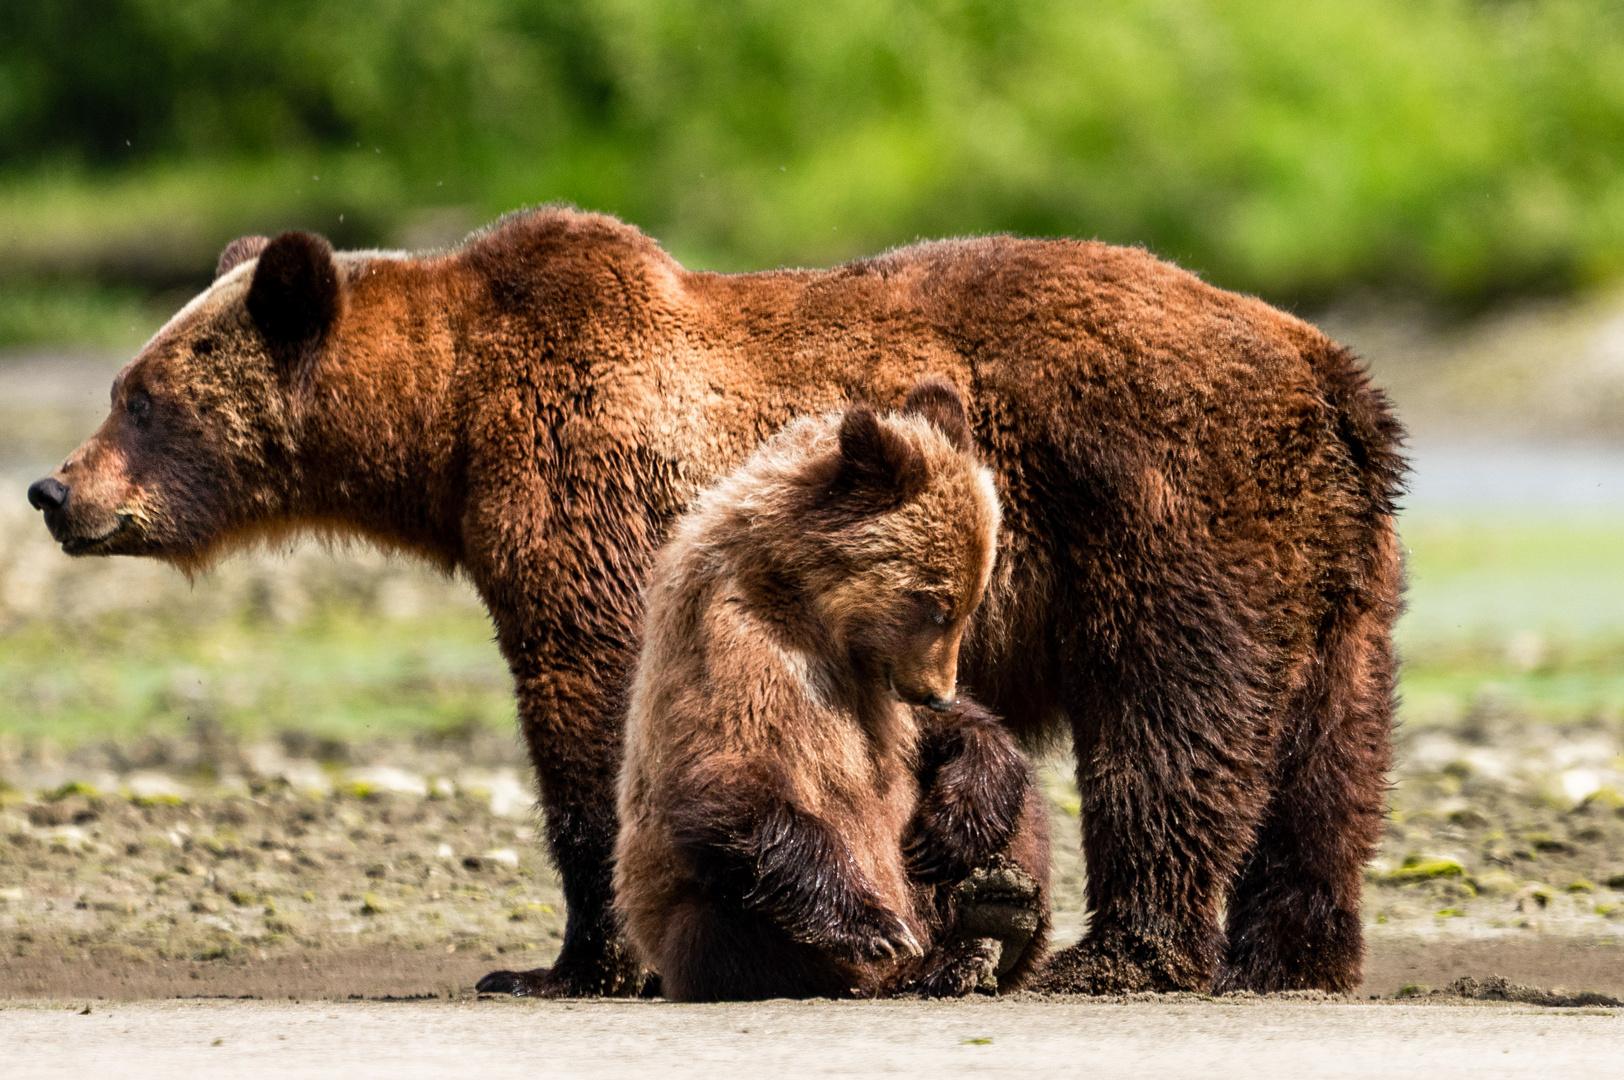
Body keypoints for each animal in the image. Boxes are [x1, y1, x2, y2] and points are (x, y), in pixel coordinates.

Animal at [25, 207, 1403, 993]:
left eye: (139, 395)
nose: (52, 489)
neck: (450, 423)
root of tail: (1326, 368)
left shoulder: (584, 496)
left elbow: (595, 718)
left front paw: (569, 962)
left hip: (1171, 514)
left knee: (1172, 731)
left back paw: (1115, 956)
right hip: (1336, 567)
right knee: (1331, 755)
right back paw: (1290, 953)